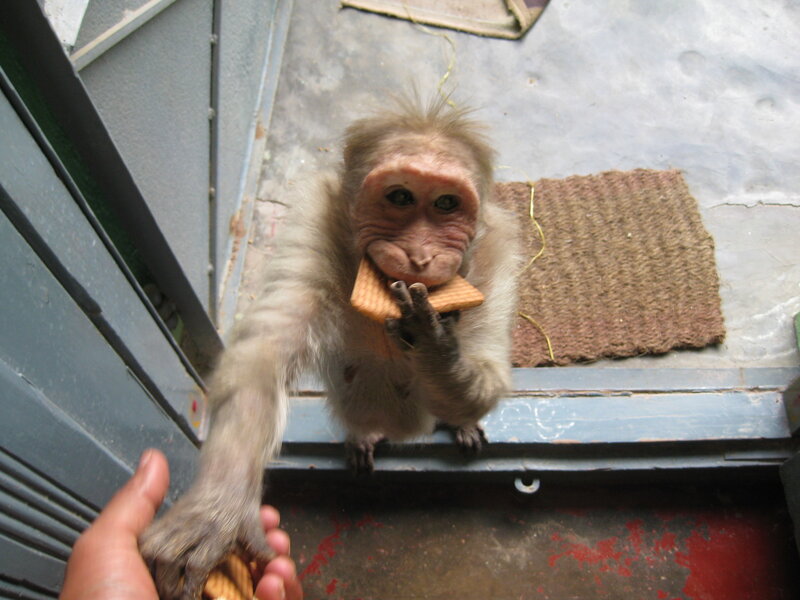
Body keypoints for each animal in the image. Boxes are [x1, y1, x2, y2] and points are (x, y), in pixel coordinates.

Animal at [139, 96, 520, 599]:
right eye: (400, 197)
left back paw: (455, 421)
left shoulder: (497, 253)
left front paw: (432, 342)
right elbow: (263, 356)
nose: (419, 255)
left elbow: (490, 369)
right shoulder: (314, 225)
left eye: (445, 203)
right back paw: (365, 434)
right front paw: (217, 506)